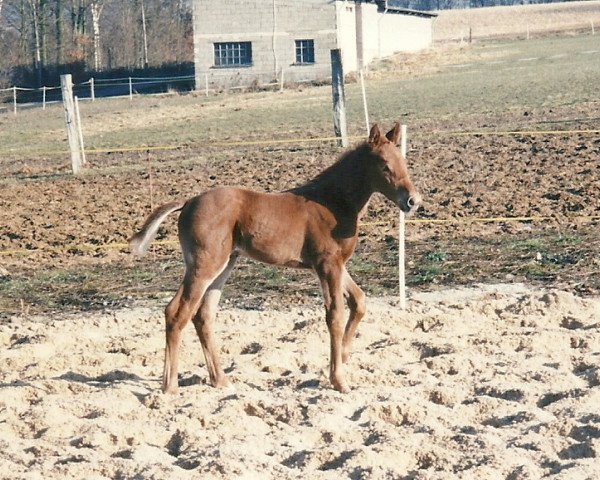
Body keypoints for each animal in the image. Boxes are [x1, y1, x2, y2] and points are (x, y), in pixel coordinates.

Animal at [129, 124, 420, 394]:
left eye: (403, 161)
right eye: (384, 165)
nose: (412, 201)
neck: (332, 202)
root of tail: (188, 201)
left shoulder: (336, 264)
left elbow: (359, 301)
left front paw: (345, 356)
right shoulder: (327, 265)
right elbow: (335, 316)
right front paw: (339, 380)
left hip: (224, 265)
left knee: (203, 316)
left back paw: (220, 380)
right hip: (204, 265)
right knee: (177, 312)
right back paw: (170, 386)